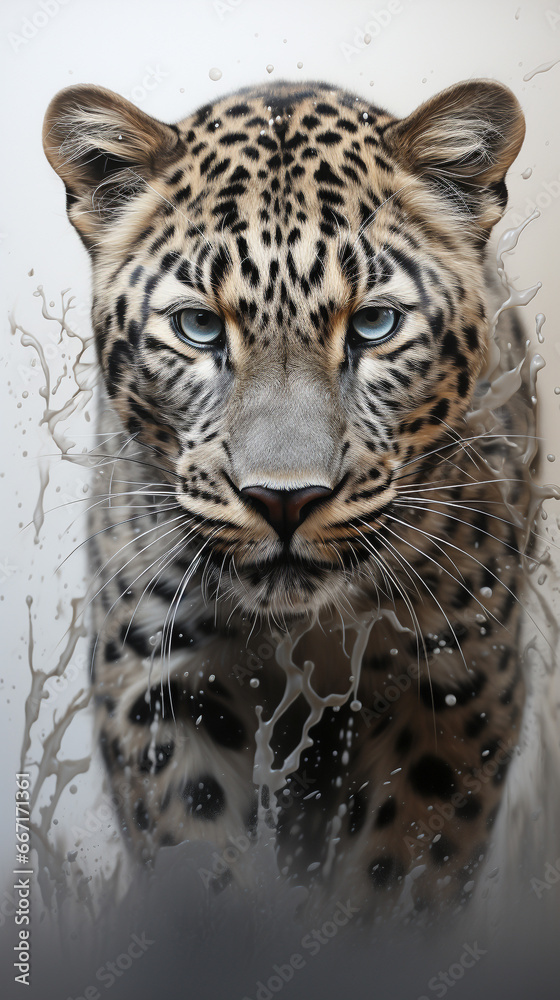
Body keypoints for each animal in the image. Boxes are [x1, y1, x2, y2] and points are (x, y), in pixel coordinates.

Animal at [42, 76, 534, 918]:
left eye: (374, 324)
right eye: (199, 328)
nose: (284, 501)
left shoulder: (461, 676)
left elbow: (405, 870)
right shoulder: (160, 668)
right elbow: (194, 851)